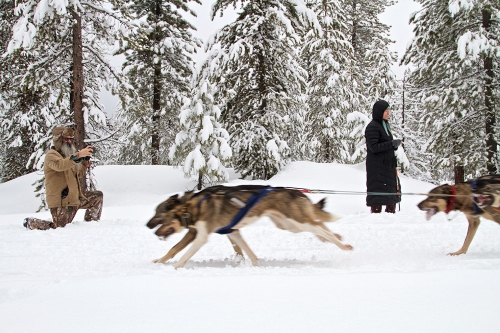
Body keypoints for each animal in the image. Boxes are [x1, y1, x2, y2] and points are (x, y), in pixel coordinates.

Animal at [146, 185, 354, 268]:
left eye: (162, 218)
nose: (153, 231)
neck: (194, 206)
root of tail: (297, 192)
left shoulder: (201, 237)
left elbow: (181, 254)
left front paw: (174, 268)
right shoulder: (234, 232)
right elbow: (248, 252)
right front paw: (254, 265)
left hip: (296, 221)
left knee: (319, 228)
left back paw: (343, 245)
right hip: (289, 225)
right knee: (319, 224)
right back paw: (338, 238)